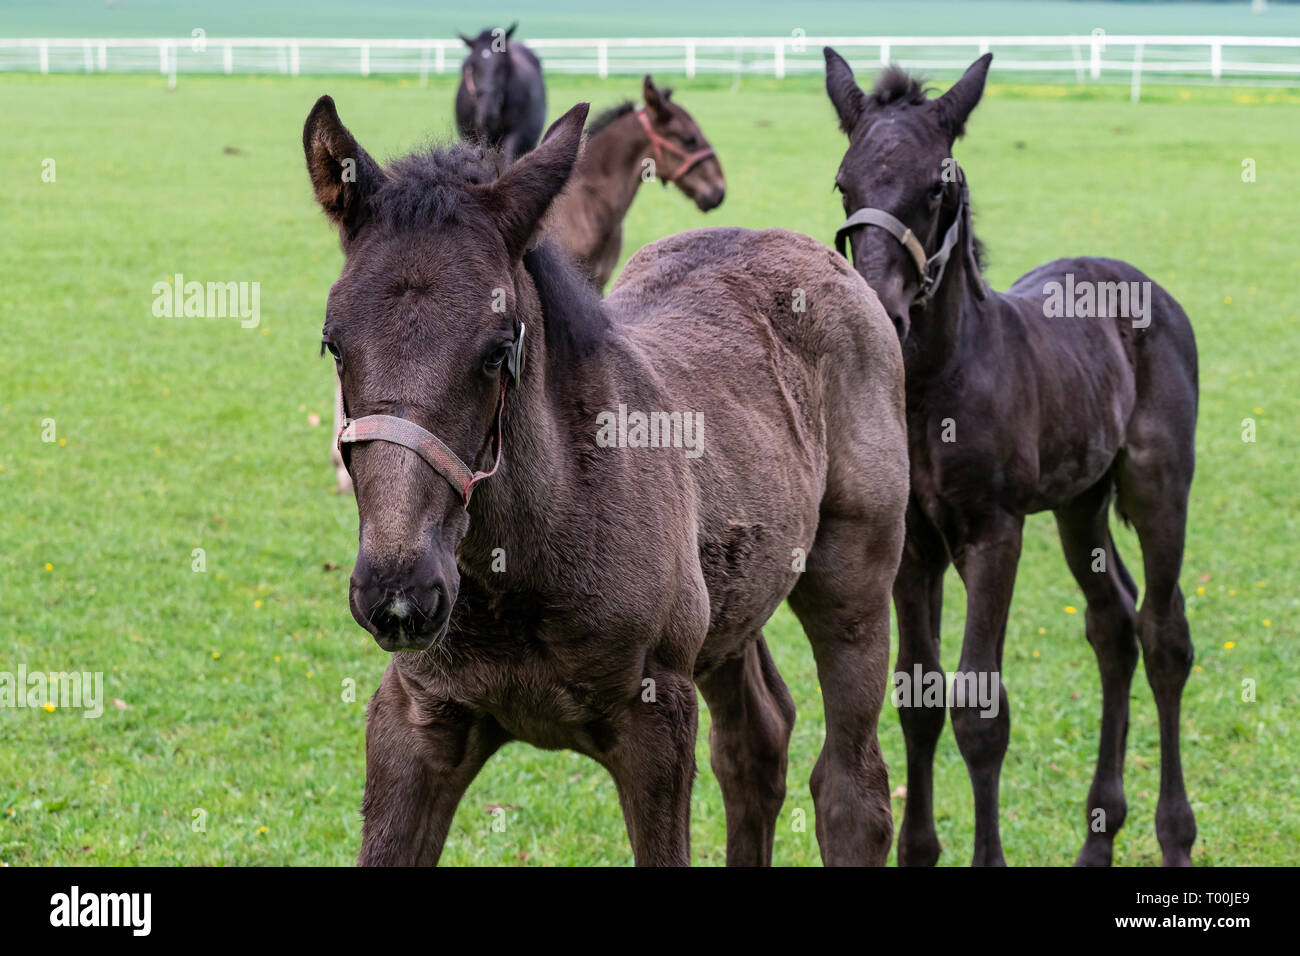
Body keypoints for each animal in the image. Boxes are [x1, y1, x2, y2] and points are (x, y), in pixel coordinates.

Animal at [821, 50, 1196, 868]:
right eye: (844, 183)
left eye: (936, 188)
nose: (880, 311)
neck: (935, 392)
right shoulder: (912, 549)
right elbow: (919, 698)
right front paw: (918, 850)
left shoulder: (996, 534)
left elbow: (980, 712)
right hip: (1081, 504)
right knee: (1112, 626)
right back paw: (1097, 838)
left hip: (1158, 488)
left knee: (1164, 637)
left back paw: (1175, 837)